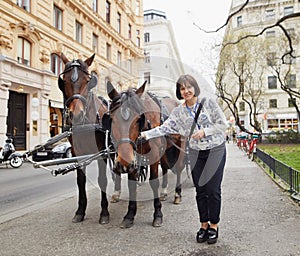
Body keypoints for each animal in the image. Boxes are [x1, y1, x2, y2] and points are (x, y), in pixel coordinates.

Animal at [58, 53, 110, 224]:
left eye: (88, 81)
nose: (76, 114)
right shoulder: (77, 153)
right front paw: (80, 211)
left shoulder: (102, 152)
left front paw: (104, 212)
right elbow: (81, 180)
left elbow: (102, 179)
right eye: (64, 81)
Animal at [105, 80, 185, 228]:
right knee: (165, 167)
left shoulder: (153, 155)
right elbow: (132, 184)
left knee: (179, 168)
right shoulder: (133, 159)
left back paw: (177, 194)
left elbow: (154, 182)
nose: (123, 163)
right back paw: (164, 192)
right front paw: (130, 215)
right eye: (112, 119)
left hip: (181, 143)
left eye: (138, 119)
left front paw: (157, 214)